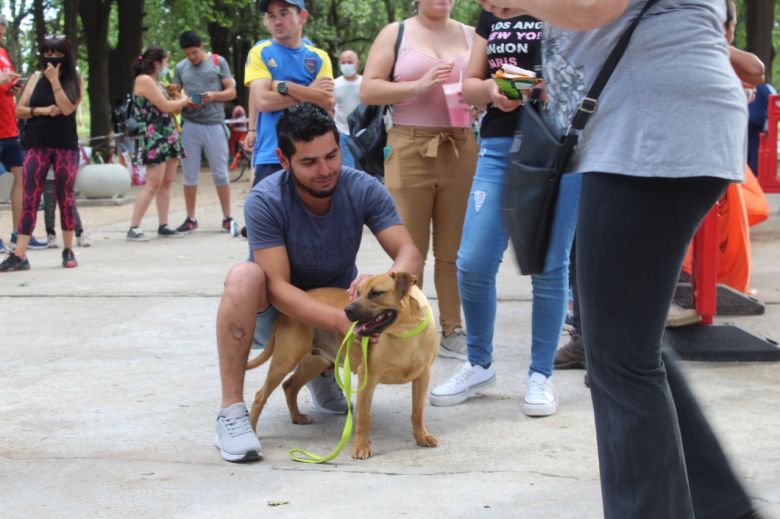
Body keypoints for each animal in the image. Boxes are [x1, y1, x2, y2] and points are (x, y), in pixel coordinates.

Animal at [247, 272, 438, 460]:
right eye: (358, 292)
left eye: (375, 293)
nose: (348, 310)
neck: (405, 334)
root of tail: (284, 312)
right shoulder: (367, 379)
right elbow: (364, 417)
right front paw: (361, 447)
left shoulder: (423, 377)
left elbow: (417, 411)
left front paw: (422, 436)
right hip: (285, 360)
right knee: (260, 396)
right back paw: (252, 431)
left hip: (313, 363)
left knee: (289, 386)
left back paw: (297, 417)